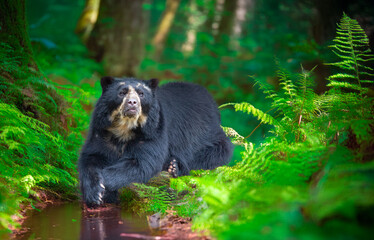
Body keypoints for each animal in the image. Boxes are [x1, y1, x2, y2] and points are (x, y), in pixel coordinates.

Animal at [77, 76, 232, 206]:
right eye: (122, 93)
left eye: (141, 94)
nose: (132, 103)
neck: (125, 128)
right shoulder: (102, 130)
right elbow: (92, 156)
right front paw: (94, 192)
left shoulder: (153, 130)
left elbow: (142, 162)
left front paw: (104, 188)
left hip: (208, 135)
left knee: (214, 153)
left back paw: (174, 166)